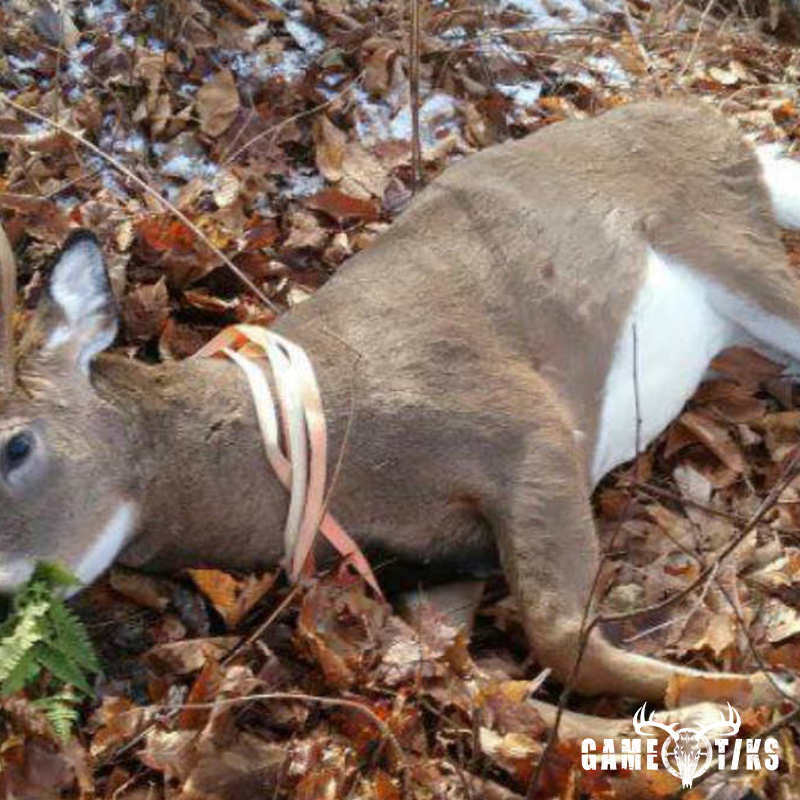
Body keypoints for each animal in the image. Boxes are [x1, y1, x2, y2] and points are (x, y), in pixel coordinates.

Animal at [2, 99, 800, 736]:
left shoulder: (525, 423)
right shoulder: (438, 565)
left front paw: (759, 690)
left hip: (731, 242)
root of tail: (723, 127)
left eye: (14, 445)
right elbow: (483, 681)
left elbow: (558, 633)